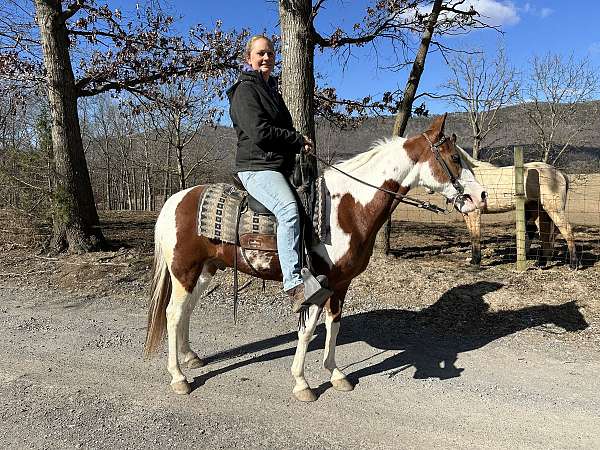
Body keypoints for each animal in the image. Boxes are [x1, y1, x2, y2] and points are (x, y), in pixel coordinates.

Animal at [144, 114, 488, 402]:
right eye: (455, 158)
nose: (480, 196)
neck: (347, 208)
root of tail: (176, 199)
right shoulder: (319, 284)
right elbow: (308, 330)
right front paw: (302, 383)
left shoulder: (341, 284)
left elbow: (334, 326)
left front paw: (336, 374)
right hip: (184, 271)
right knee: (173, 313)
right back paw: (179, 377)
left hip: (204, 271)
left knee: (185, 311)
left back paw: (191, 357)